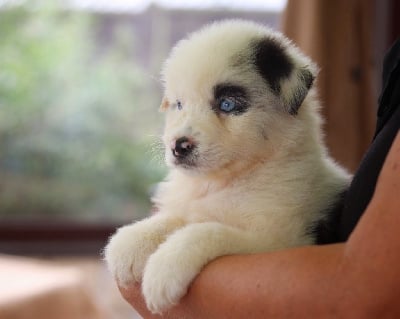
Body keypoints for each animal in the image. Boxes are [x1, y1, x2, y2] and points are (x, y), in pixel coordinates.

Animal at [105, 19, 350, 316]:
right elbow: (176, 217)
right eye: (179, 104)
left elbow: (207, 230)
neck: (228, 180)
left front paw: (163, 270)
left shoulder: (279, 240)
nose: (179, 146)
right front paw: (131, 241)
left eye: (227, 104)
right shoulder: (195, 205)